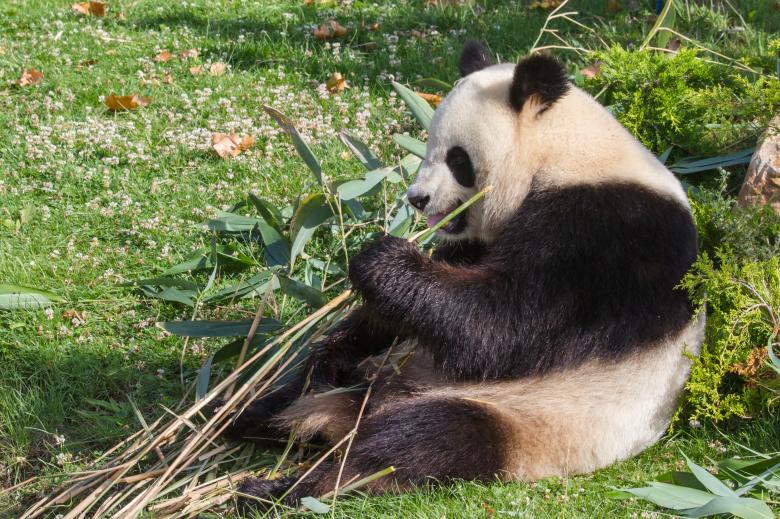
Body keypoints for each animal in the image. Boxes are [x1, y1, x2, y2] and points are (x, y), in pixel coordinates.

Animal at [229, 41, 704, 509]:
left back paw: (282, 489)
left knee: (418, 443)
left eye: (458, 160)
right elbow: (410, 313)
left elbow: (501, 324)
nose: (417, 199)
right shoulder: (481, 243)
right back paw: (246, 416)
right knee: (304, 397)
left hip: (525, 416)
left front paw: (381, 261)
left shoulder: (607, 238)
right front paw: (336, 345)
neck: (567, 152)